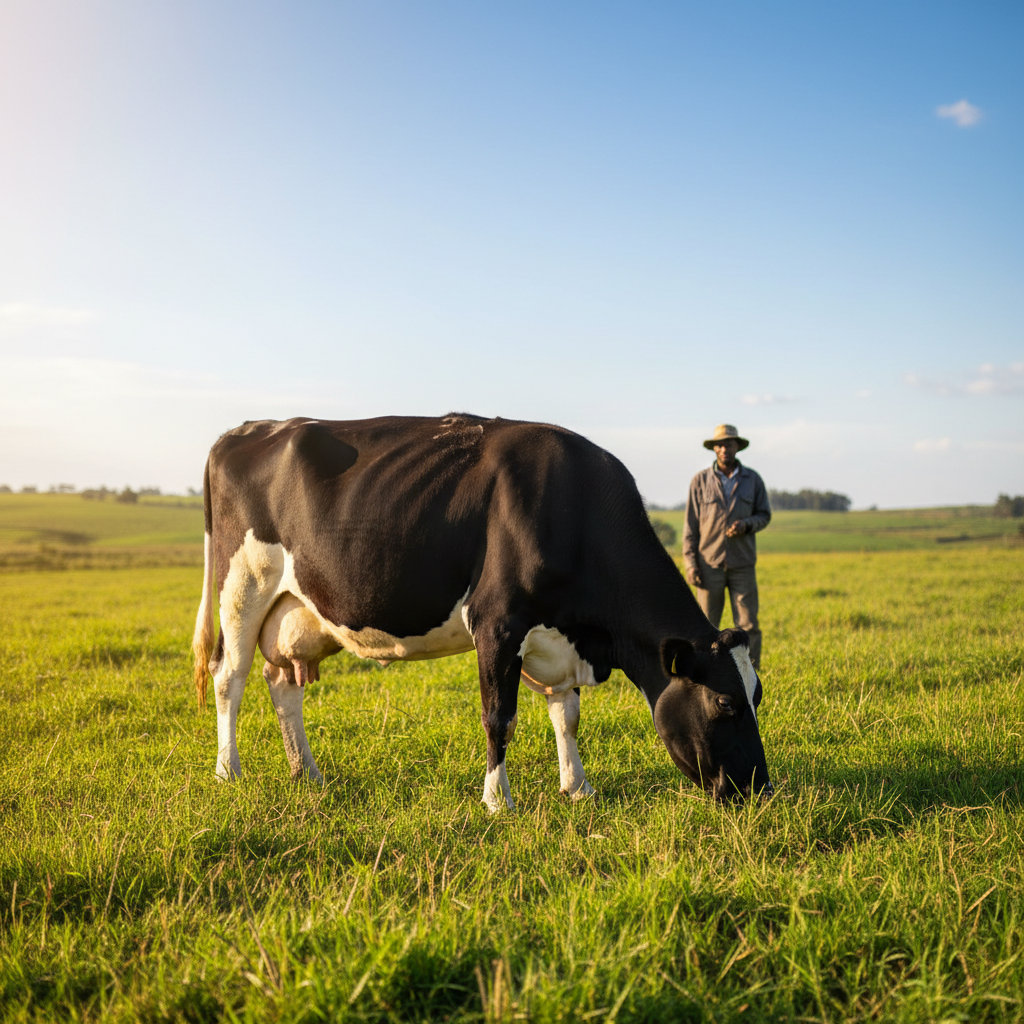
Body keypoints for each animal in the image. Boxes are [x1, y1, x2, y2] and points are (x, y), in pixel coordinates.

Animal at [192, 414, 772, 809]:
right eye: (724, 702)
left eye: (758, 693)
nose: (761, 789)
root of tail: (245, 430)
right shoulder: (497, 623)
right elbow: (499, 717)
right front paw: (498, 799)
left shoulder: (557, 633)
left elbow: (567, 714)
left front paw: (578, 787)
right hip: (241, 588)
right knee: (229, 678)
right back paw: (228, 772)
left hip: (293, 611)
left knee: (282, 684)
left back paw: (306, 773)